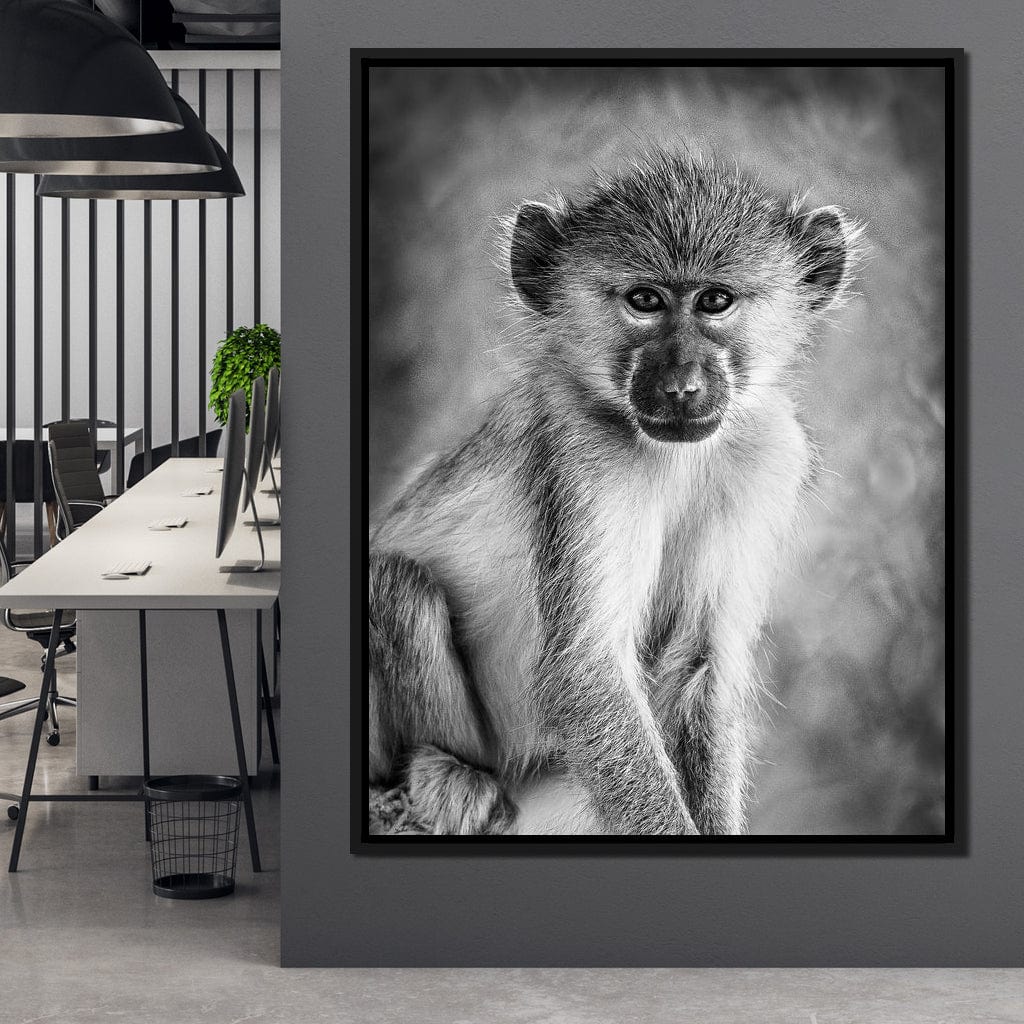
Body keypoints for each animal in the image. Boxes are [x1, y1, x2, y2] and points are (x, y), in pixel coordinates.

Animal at [367, 151, 860, 836]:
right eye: (644, 300)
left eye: (715, 300)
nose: (681, 386)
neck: (677, 458)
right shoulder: (584, 454)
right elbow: (587, 672)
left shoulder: (769, 454)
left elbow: (701, 663)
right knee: (395, 585)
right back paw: (443, 770)